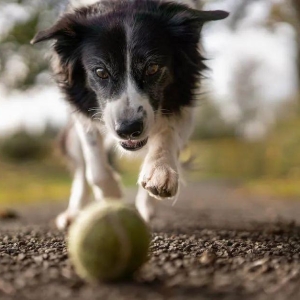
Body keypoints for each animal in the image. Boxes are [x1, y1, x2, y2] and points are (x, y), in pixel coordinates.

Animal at [31, 0, 229, 230]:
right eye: (100, 72)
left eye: (152, 68)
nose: (128, 130)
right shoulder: (83, 112)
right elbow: (95, 168)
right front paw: (113, 197)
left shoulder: (184, 101)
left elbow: (167, 134)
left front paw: (160, 171)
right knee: (81, 170)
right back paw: (73, 213)